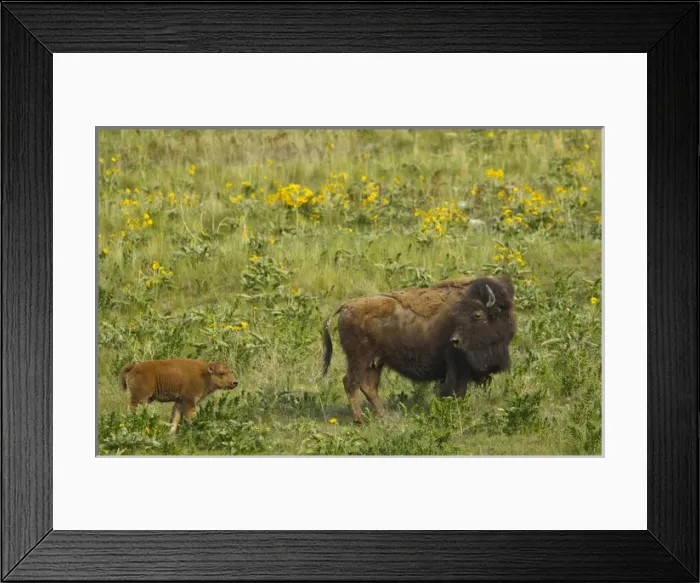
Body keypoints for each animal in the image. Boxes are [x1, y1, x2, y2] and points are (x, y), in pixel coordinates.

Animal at [321, 276, 516, 423]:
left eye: (477, 315)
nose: (455, 340)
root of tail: (347, 306)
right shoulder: (458, 366)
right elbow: (456, 390)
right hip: (359, 360)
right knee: (351, 383)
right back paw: (360, 420)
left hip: (375, 363)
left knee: (369, 387)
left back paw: (386, 416)